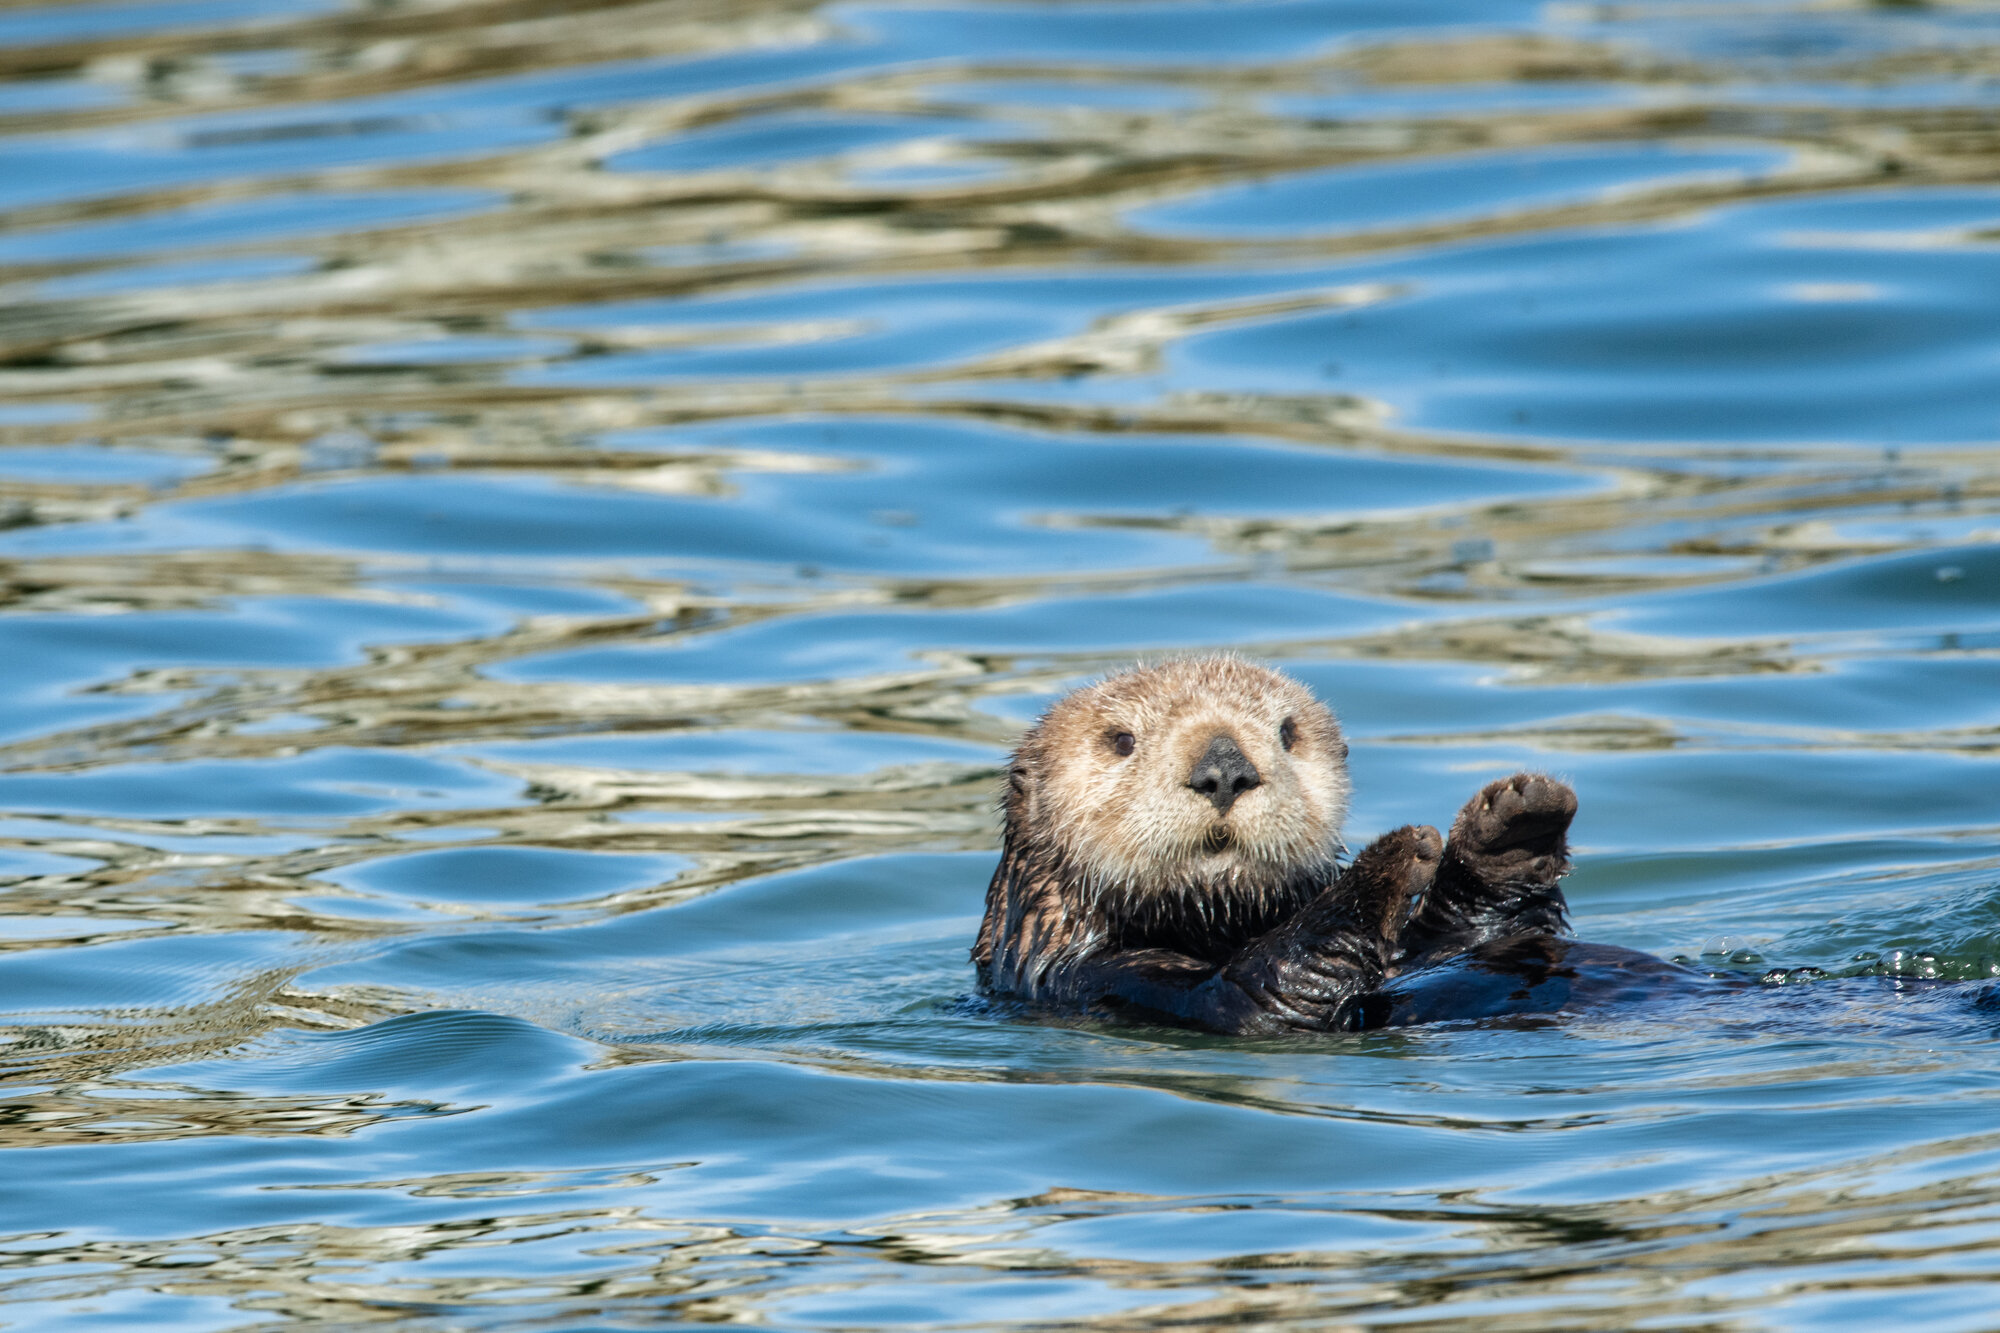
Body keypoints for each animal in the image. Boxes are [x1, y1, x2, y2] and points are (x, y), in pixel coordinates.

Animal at [973, 656, 1690, 1033]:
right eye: (1120, 740)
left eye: (1287, 732)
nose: (1224, 769)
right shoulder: (1102, 979)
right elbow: (1267, 989)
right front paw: (1395, 856)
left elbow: (1504, 938)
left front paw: (1514, 821)